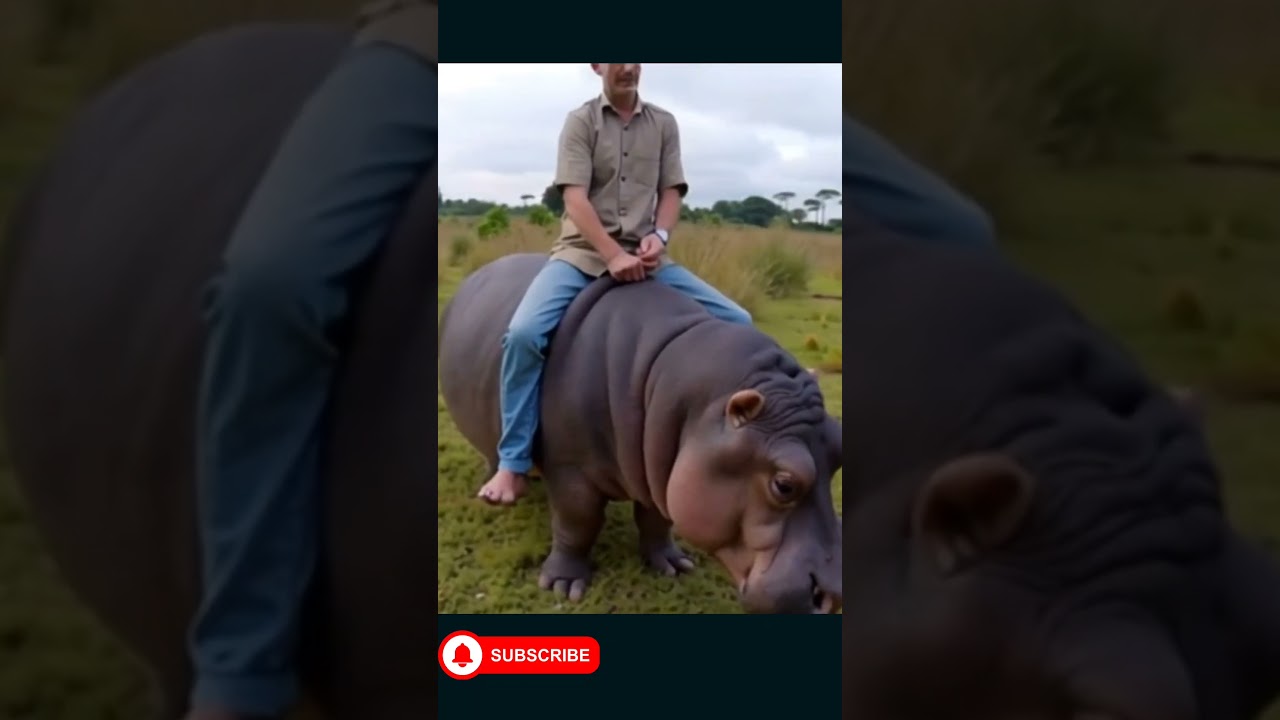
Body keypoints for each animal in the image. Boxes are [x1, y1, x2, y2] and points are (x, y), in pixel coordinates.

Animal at [438, 254, 843, 614]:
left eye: (840, 452)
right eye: (784, 484)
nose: (833, 597)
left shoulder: (659, 466)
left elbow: (656, 519)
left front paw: (674, 565)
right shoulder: (570, 468)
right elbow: (577, 520)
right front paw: (564, 585)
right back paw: (501, 488)